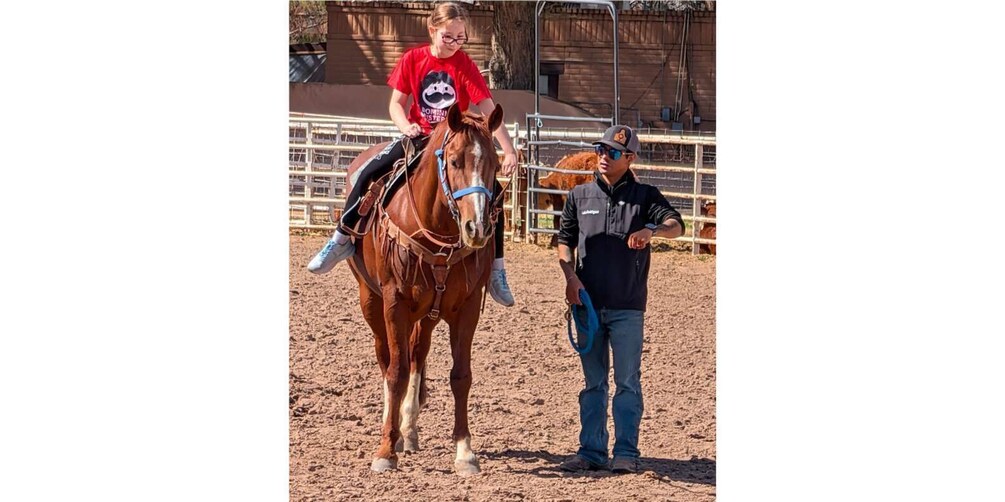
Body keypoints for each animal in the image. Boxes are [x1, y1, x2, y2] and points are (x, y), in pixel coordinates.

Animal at [342, 103, 504, 476]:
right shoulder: (394, 303)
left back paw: (410, 428)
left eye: (495, 164)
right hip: (370, 300)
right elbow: (396, 372)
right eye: (455, 161)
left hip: (428, 313)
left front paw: (464, 452)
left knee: (418, 353)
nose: (477, 228)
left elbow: (461, 376)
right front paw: (386, 450)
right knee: (387, 358)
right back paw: (396, 430)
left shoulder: (467, 307)